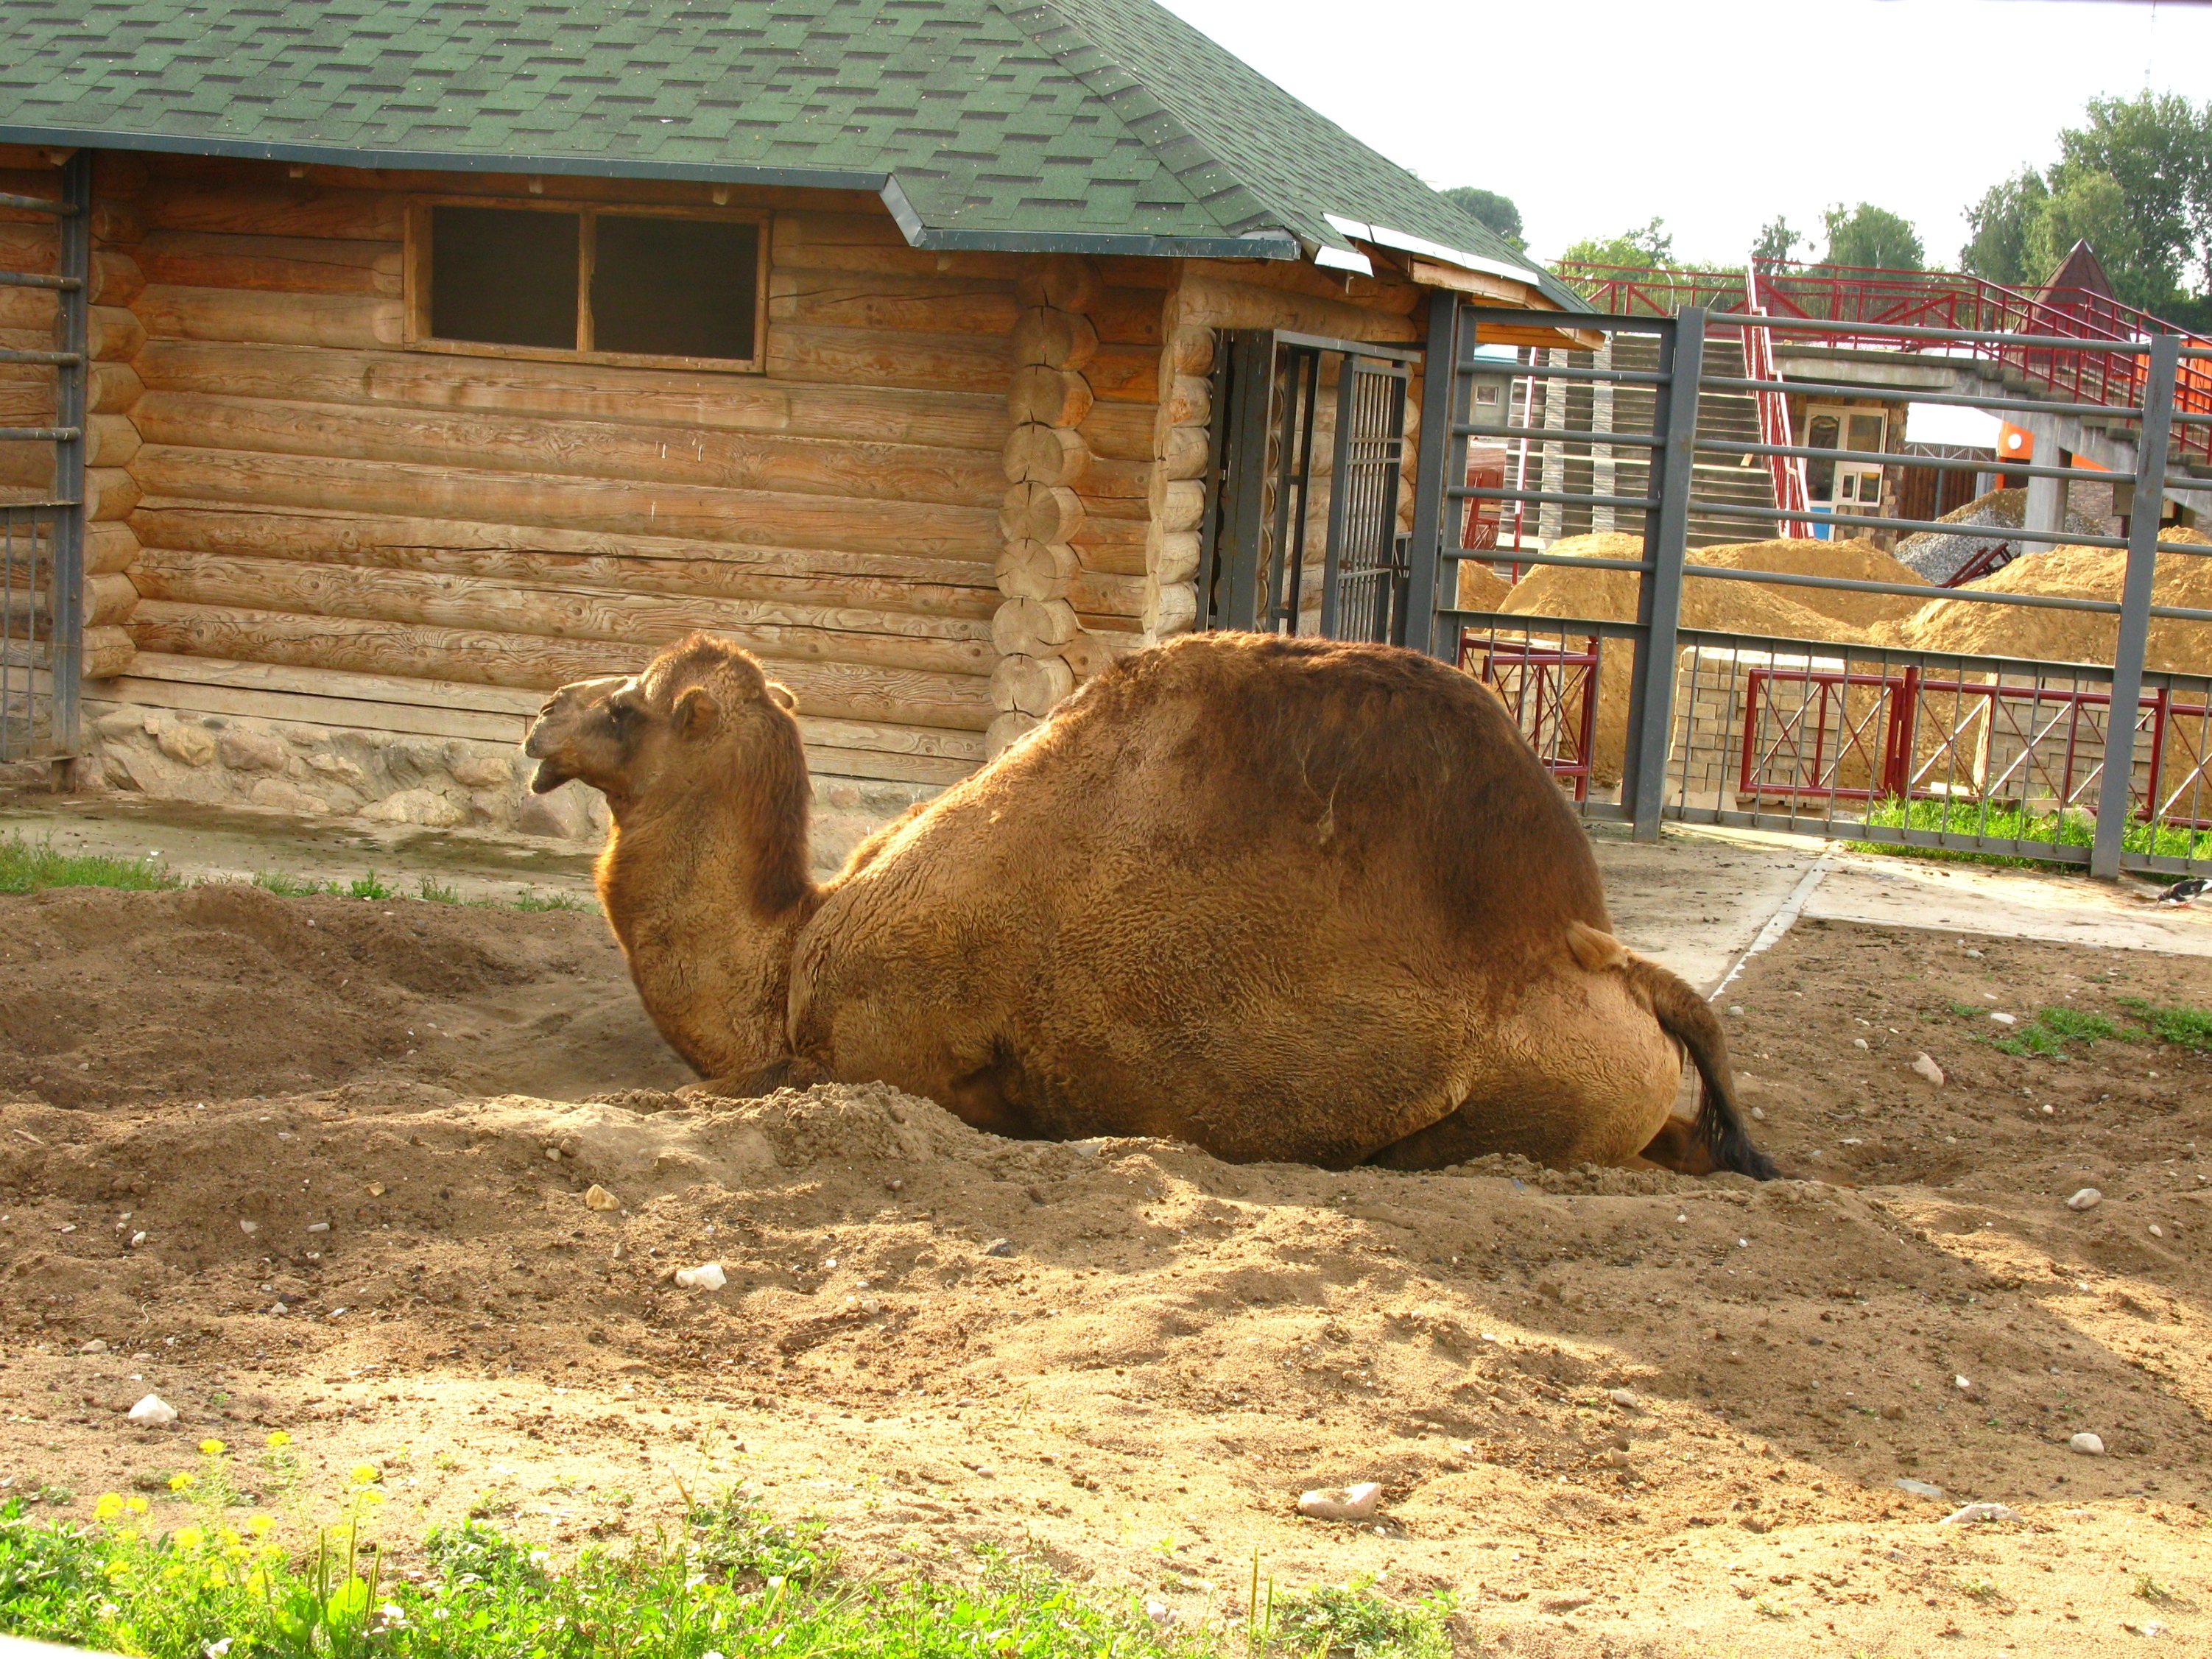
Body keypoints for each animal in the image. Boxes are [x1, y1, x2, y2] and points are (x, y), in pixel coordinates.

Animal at [521, 628, 1778, 1186]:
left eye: (629, 708)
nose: (540, 719)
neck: (793, 954)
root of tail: (1602, 956)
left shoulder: (878, 1053)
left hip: (1528, 1104)